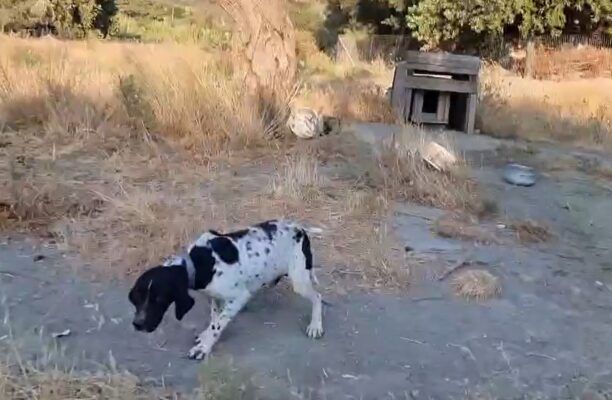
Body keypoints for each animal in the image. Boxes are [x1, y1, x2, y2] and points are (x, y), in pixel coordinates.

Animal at [126, 220, 322, 360]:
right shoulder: (215, 296)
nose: (137, 324)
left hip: (299, 280)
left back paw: (315, 326)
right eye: (138, 297)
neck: (198, 263)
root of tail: (300, 229)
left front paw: (203, 348)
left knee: (318, 297)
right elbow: (215, 318)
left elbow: (218, 323)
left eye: (158, 299)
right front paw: (205, 337)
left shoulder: (239, 297)